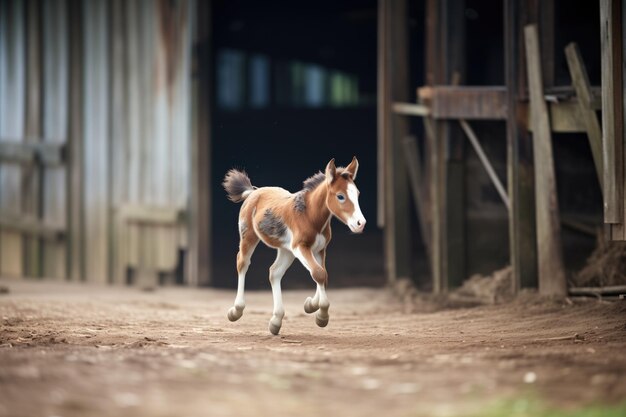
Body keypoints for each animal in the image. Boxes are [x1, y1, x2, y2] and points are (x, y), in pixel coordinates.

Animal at [221, 157, 364, 334]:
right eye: (340, 196)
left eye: (357, 194)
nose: (360, 223)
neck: (310, 216)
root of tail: (253, 191)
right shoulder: (300, 247)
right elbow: (319, 273)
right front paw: (321, 316)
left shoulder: (319, 249)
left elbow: (323, 275)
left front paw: (311, 305)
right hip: (249, 236)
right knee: (243, 263)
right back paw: (236, 311)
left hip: (285, 250)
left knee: (274, 272)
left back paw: (276, 321)